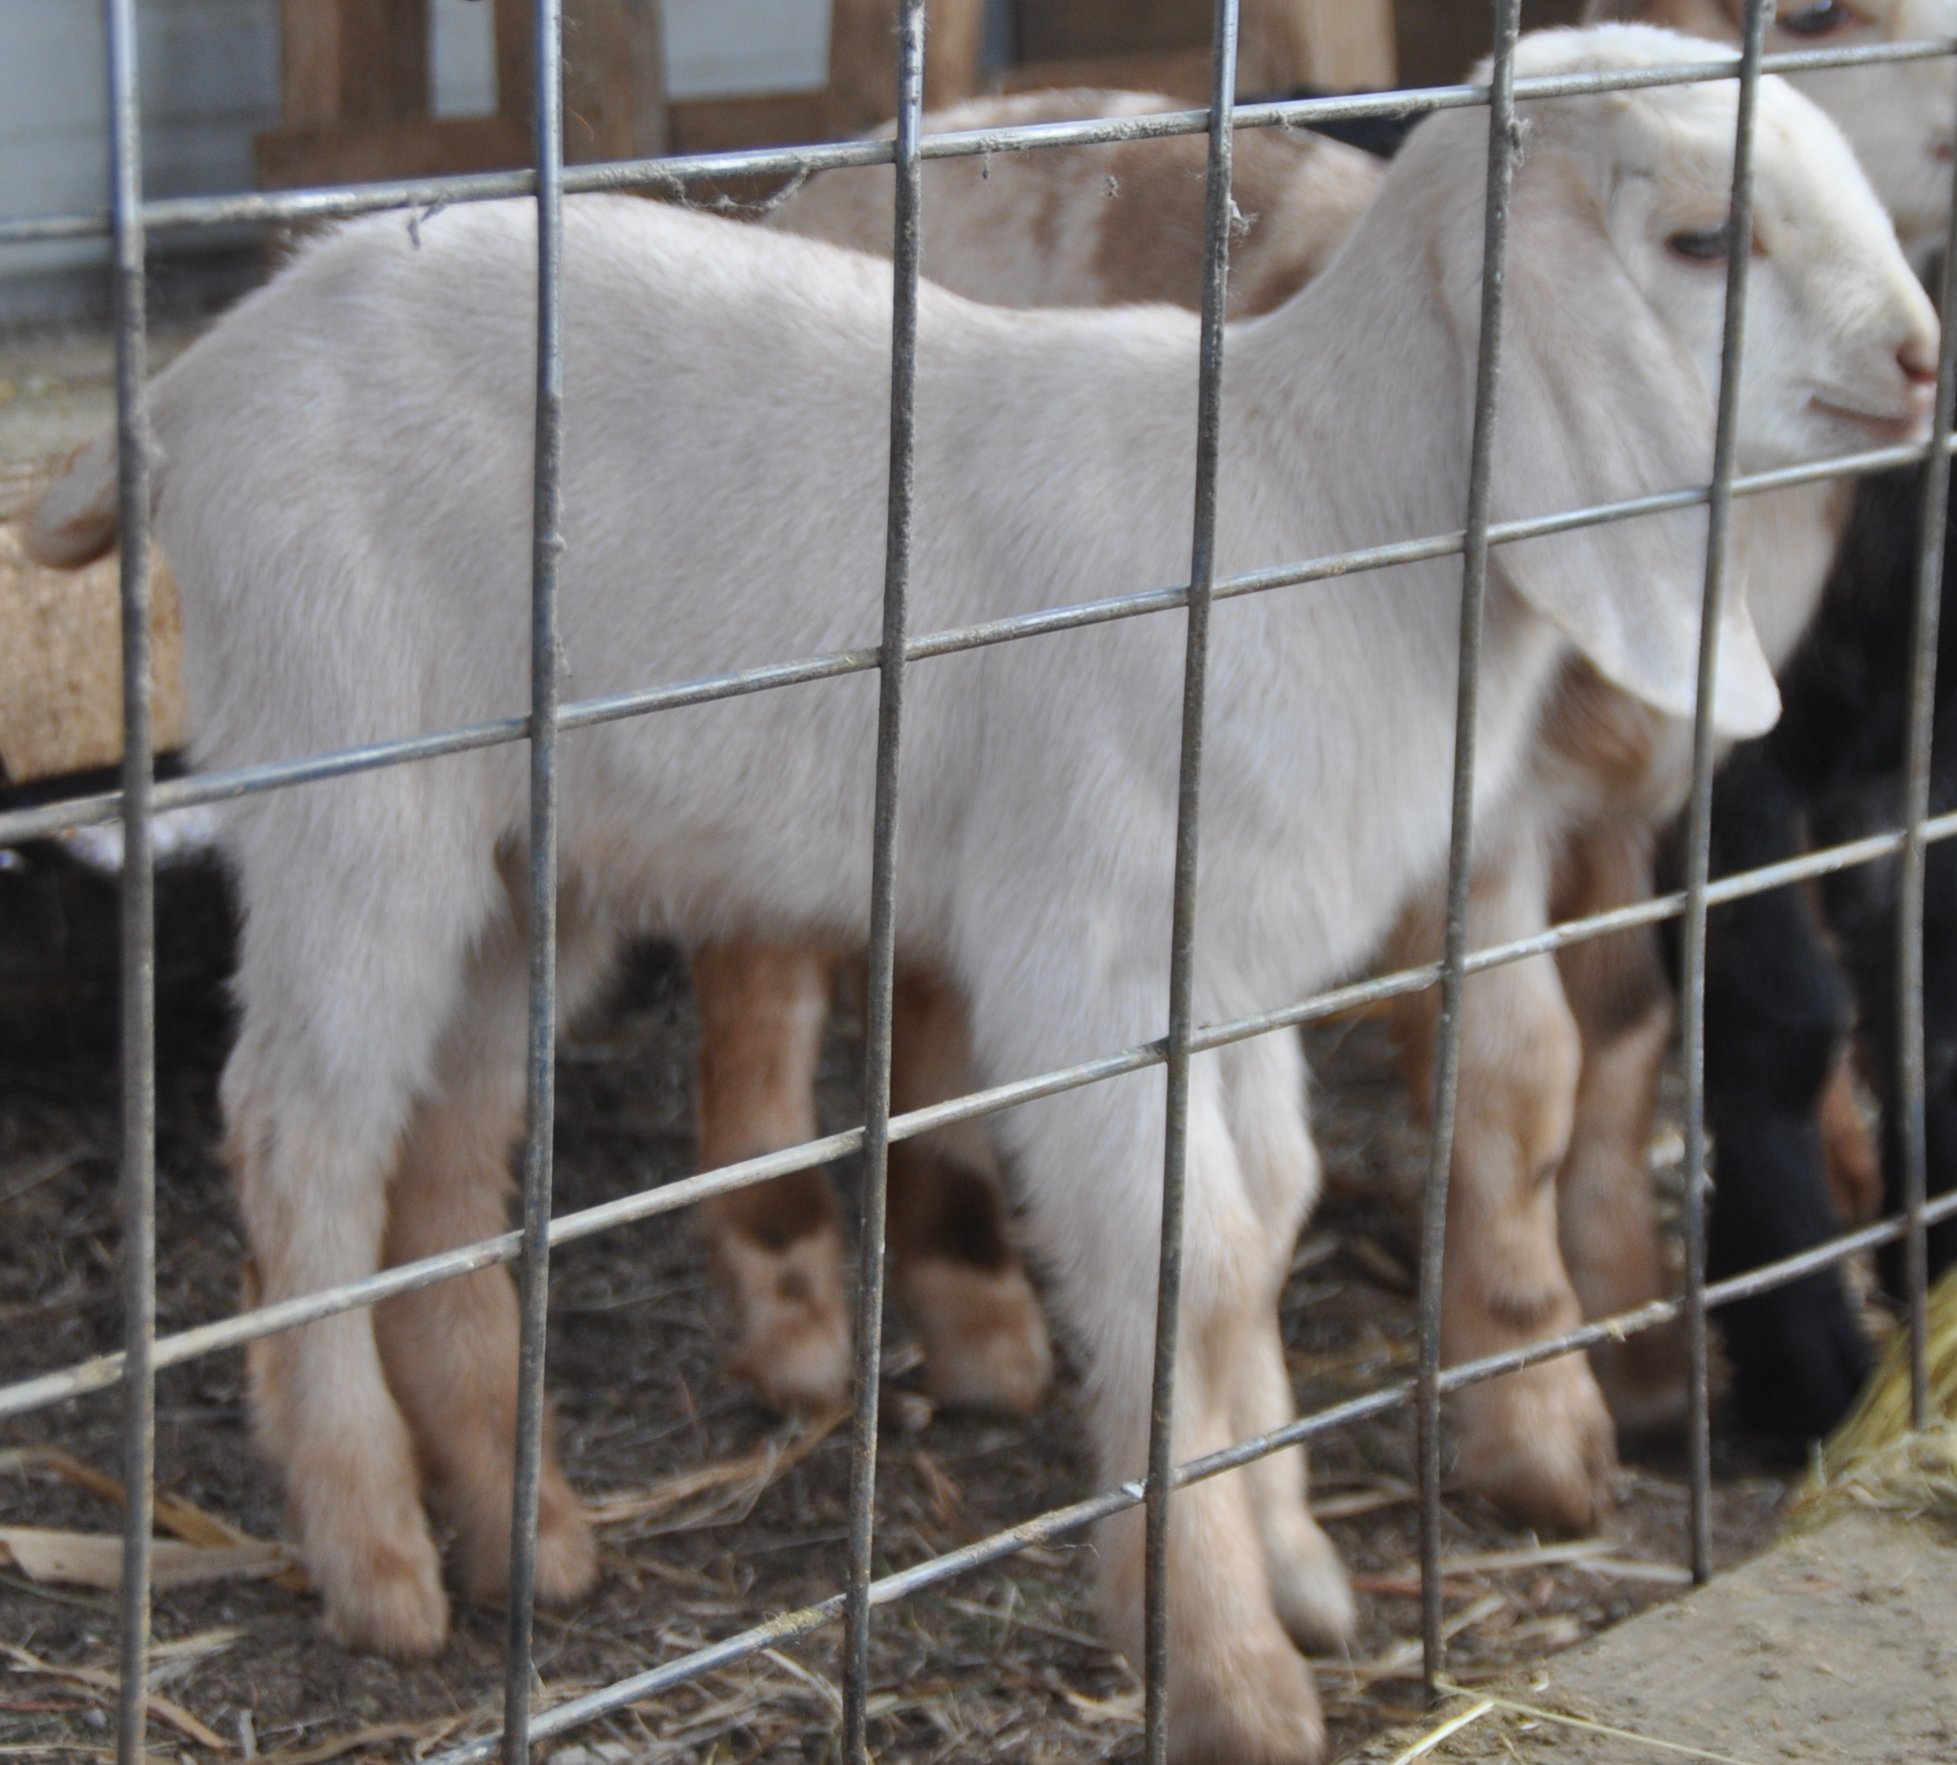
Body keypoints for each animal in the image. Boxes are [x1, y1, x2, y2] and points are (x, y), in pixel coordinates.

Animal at [26, 27, 1938, 1761]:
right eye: (1703, 238)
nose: (1922, 360)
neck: (1318, 498)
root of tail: (190, 386)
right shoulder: (1092, 952)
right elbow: (1180, 1257)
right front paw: (1227, 1669)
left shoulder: (1225, 973)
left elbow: (1256, 1236)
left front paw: (1293, 1568)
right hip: (353, 774)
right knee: (300, 1130)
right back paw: (375, 1560)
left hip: (524, 868)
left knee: (445, 1149)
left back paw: (527, 1537)